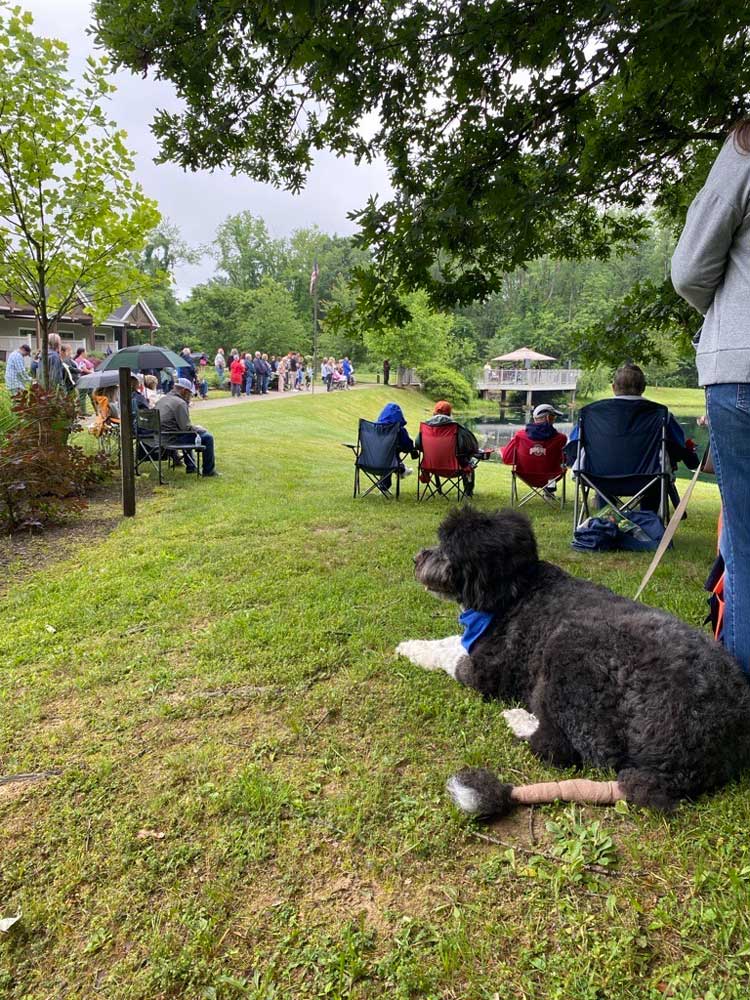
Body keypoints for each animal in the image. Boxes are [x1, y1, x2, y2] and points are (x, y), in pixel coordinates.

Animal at [396, 504, 750, 816]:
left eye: (445, 549)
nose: (416, 558)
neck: (517, 591)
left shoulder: (486, 670)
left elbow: (449, 652)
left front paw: (412, 649)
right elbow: (450, 642)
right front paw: (412, 644)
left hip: (569, 652)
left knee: (561, 749)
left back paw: (520, 720)